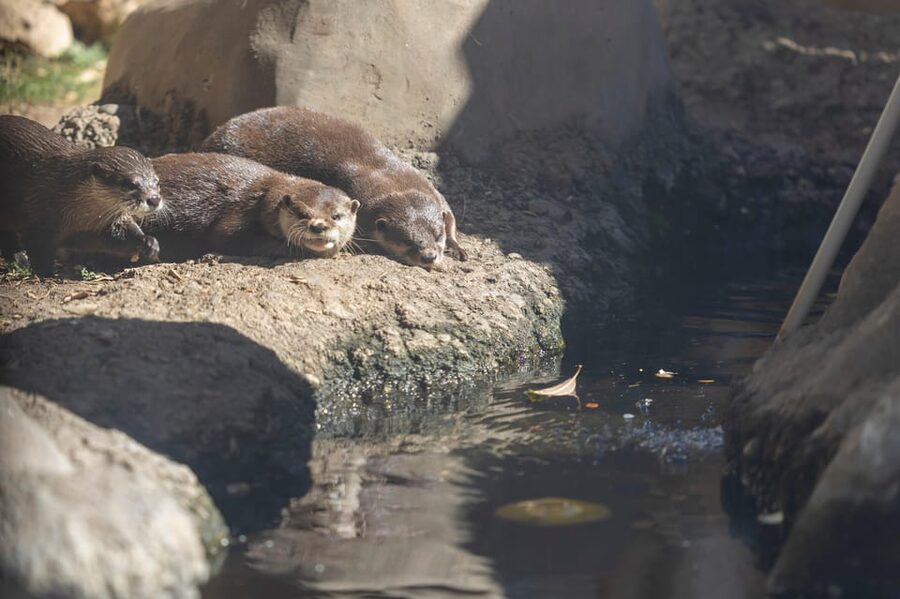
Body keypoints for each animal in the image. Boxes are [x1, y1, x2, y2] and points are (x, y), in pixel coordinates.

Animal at [0, 115, 162, 275]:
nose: (154, 199)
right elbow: (39, 251)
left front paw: (148, 243)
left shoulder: (98, 228)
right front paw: (48, 274)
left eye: (157, 181)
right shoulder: (38, 218)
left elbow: (120, 236)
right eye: (131, 184)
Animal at [140, 153, 358, 261]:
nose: (318, 226)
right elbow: (228, 237)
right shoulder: (240, 214)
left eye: (336, 216)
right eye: (301, 213)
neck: (264, 199)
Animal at [201, 106, 466, 269]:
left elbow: (452, 218)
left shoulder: (434, 192)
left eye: (438, 236)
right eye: (408, 241)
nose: (429, 256)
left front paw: (458, 247)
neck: (391, 180)